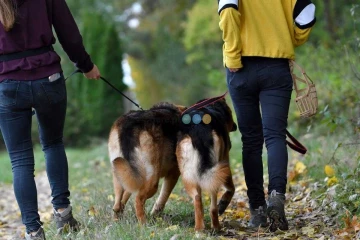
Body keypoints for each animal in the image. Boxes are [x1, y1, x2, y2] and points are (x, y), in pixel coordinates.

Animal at [176, 98, 238, 232]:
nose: (236, 126)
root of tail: (198, 128)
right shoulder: (225, 158)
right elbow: (231, 189)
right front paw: (223, 203)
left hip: (188, 174)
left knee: (198, 199)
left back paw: (201, 228)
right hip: (219, 167)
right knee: (213, 204)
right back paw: (215, 226)